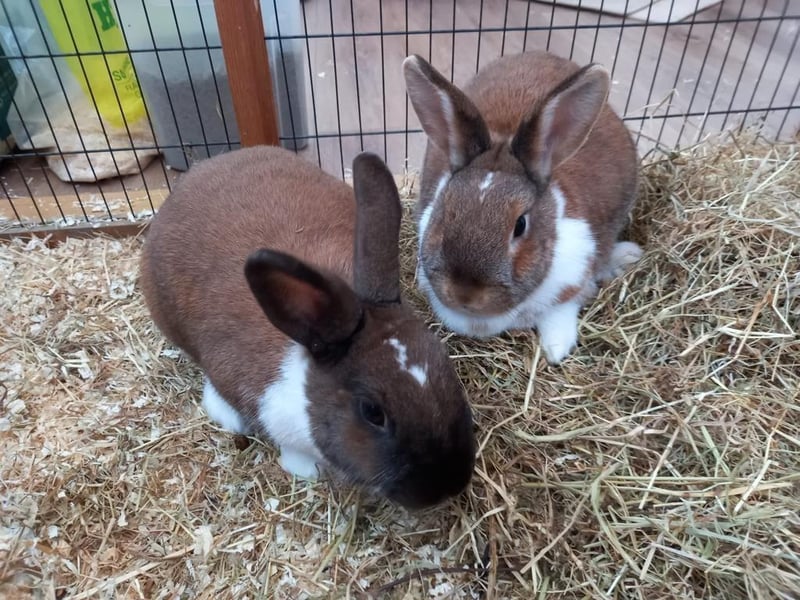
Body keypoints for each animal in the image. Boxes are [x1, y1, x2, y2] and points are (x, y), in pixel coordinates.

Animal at [402, 51, 642, 365]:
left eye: (520, 225)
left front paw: (556, 350)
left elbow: (561, 313)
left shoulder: (573, 278)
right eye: (444, 211)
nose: (465, 294)